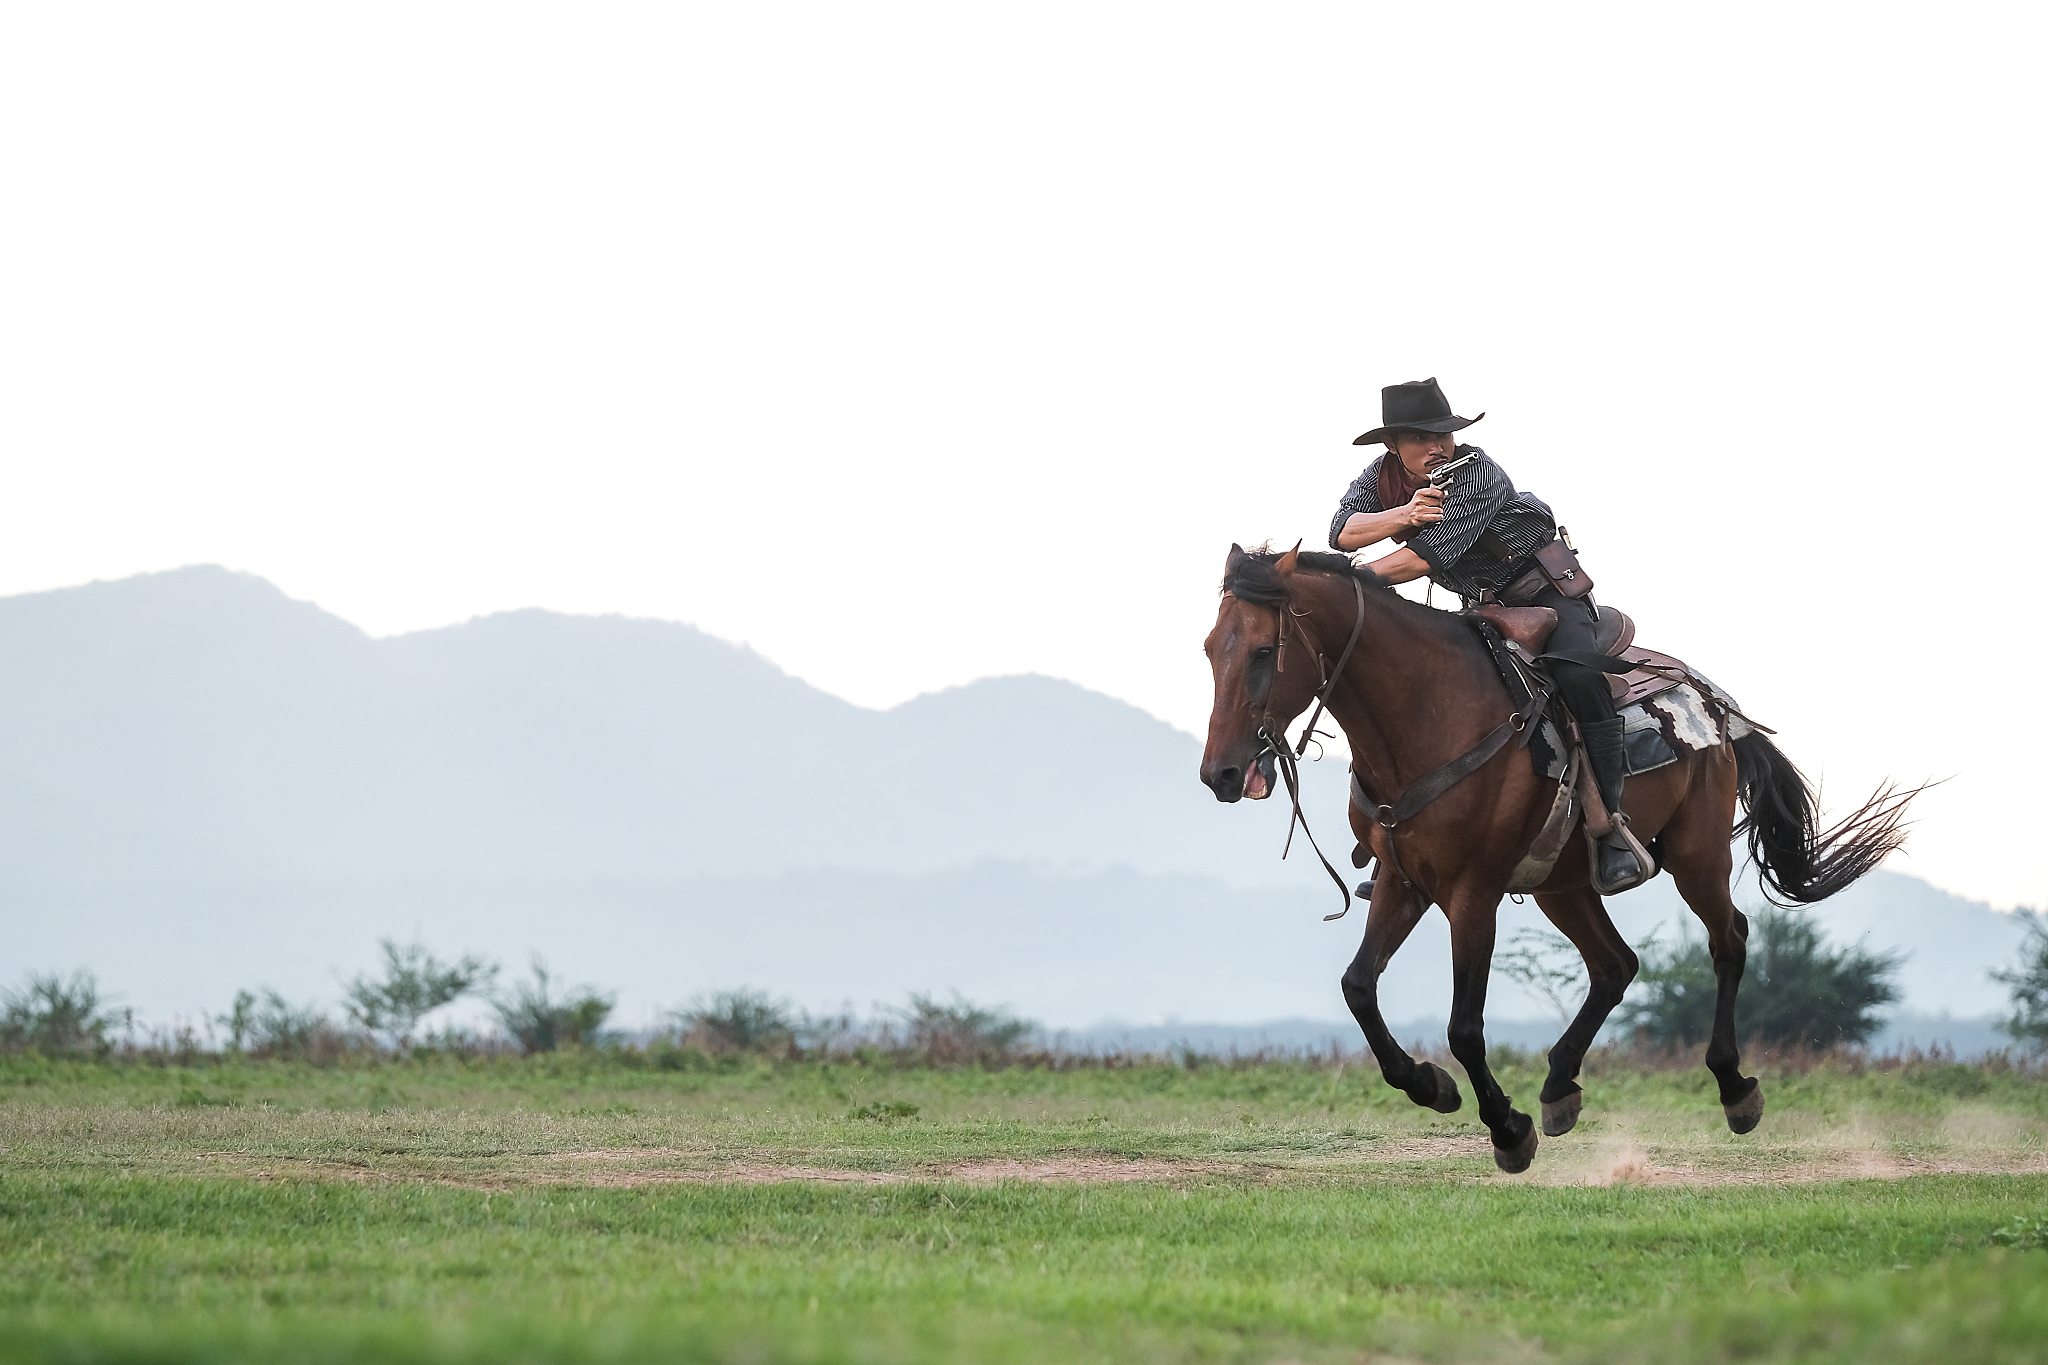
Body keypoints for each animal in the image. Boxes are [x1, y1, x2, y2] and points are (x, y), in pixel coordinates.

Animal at [1199, 544, 1914, 1173]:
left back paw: (1734, 1088)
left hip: (1696, 853)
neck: (1428, 714)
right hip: (1562, 885)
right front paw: (1432, 1087)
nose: (1221, 773)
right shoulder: (1404, 882)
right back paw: (1560, 1086)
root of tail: (1715, 704)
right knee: (1616, 964)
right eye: (1210, 649)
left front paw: (1506, 1131)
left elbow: (1464, 1027)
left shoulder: (1472, 894)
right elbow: (1358, 988)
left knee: (1728, 940)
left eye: (1263, 651)